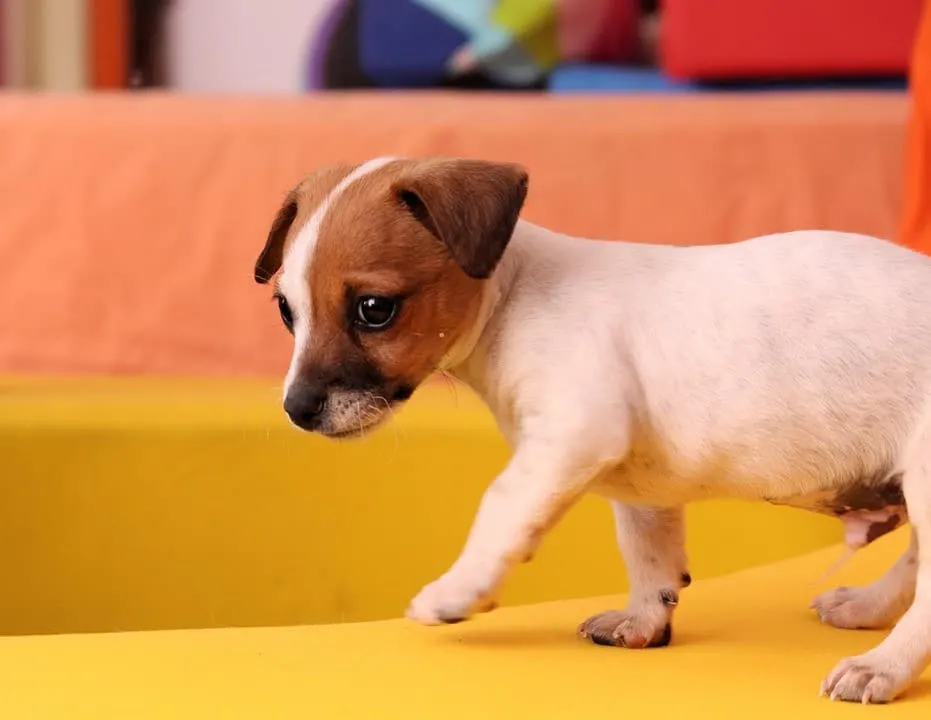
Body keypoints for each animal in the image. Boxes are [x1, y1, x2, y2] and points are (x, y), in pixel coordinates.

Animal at [255, 156, 931, 704]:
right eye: (287, 311)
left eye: (374, 310)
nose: (297, 409)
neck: (515, 295)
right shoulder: (642, 485)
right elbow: (649, 555)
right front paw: (644, 622)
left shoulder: (572, 433)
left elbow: (500, 505)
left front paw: (459, 589)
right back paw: (867, 606)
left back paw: (881, 666)